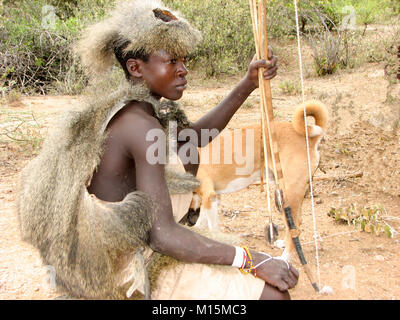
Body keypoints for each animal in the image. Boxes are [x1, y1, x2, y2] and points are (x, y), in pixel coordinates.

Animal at [188, 100, 328, 262]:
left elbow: (212, 227)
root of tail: (309, 138)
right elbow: (202, 219)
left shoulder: (209, 196)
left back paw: (284, 258)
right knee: (296, 224)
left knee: (295, 226)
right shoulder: (210, 197)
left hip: (288, 194)